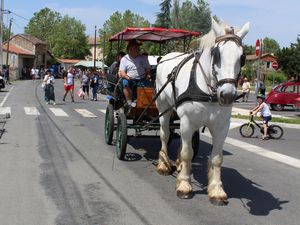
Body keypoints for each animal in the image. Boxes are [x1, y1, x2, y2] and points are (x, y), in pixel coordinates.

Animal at [156, 18, 250, 206]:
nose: (227, 96)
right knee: (165, 134)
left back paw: (178, 164)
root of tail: (165, 57)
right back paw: (164, 163)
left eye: (242, 57)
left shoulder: (222, 126)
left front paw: (216, 190)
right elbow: (187, 153)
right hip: (163, 107)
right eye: (217, 54)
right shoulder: (187, 121)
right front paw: (184, 184)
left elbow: (216, 158)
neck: (208, 92)